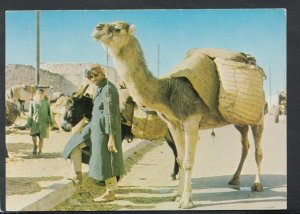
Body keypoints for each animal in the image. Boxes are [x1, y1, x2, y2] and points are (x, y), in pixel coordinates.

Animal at [92, 20, 264, 208]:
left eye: (117, 28)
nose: (97, 28)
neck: (167, 90)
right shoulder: (173, 124)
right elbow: (180, 159)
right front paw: (177, 195)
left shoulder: (192, 120)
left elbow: (188, 161)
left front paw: (187, 201)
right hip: (239, 121)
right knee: (245, 144)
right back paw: (234, 179)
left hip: (258, 116)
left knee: (258, 149)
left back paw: (257, 184)